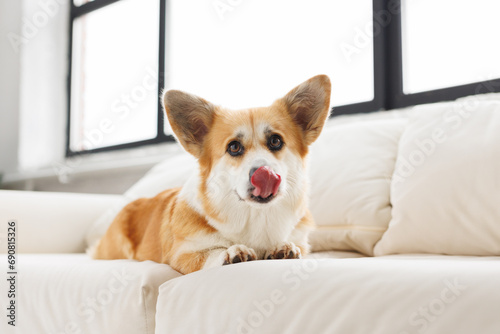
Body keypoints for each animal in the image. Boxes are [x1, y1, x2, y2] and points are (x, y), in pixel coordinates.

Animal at [94, 75, 332, 274]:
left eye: (275, 141)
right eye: (234, 147)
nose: (264, 174)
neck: (254, 214)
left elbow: (293, 245)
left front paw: (284, 248)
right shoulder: (182, 255)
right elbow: (211, 252)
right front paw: (231, 252)